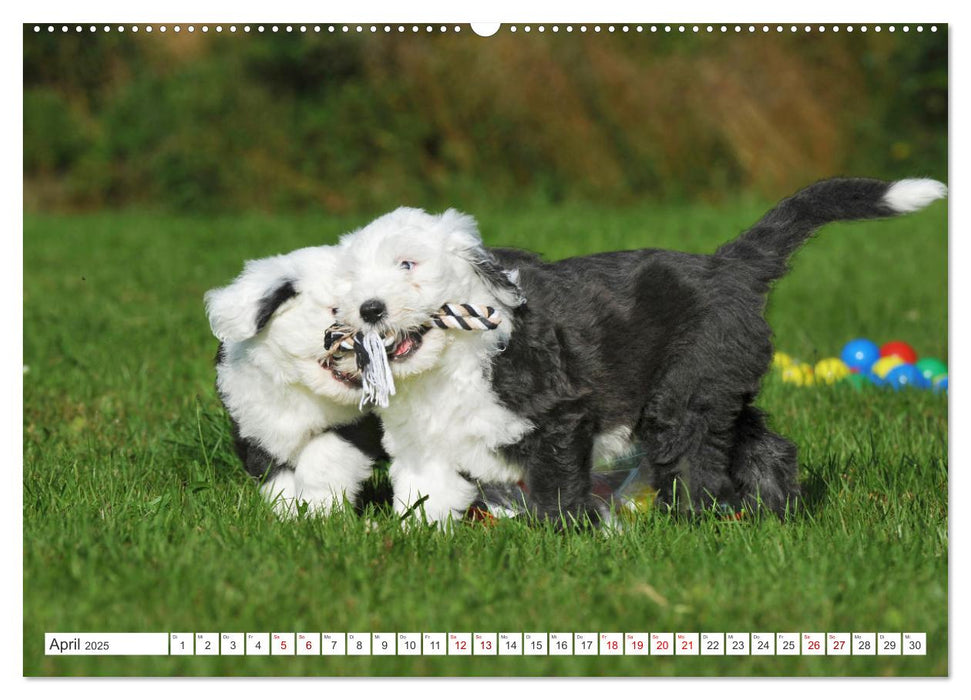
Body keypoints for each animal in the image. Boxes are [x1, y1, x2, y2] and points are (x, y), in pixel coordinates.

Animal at [207, 245, 386, 516]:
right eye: (336, 310)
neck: (302, 385)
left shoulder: (358, 427)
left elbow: (323, 458)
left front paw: (321, 511)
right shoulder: (255, 426)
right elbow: (272, 472)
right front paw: (287, 514)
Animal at [336, 208, 532, 520]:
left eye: (407, 264)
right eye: (353, 279)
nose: (370, 309)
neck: (440, 367)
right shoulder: (423, 447)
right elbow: (426, 496)